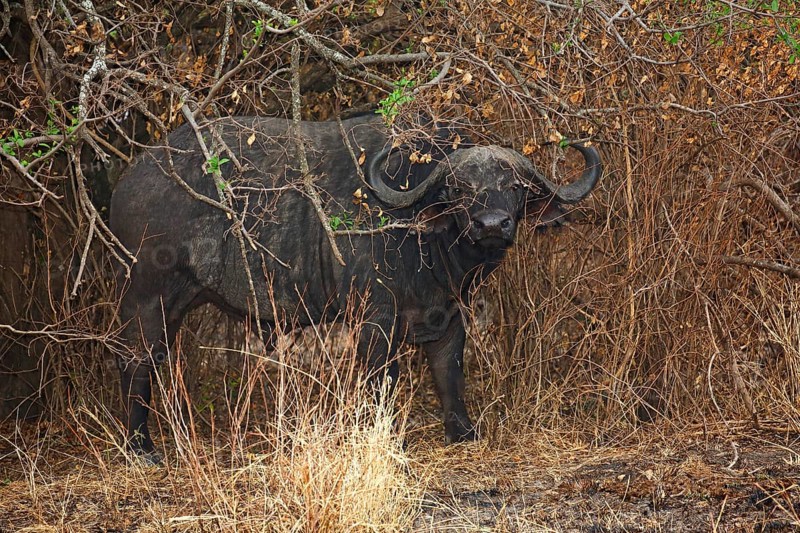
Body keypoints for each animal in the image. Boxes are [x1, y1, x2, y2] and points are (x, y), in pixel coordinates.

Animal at [109, 113, 601, 463]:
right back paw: (141, 448)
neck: (423, 240)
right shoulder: (373, 322)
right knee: (135, 361)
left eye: (514, 187)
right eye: (459, 188)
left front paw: (463, 433)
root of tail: (130, 179)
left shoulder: (448, 315)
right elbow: (381, 384)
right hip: (146, 298)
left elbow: (450, 374)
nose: (492, 225)